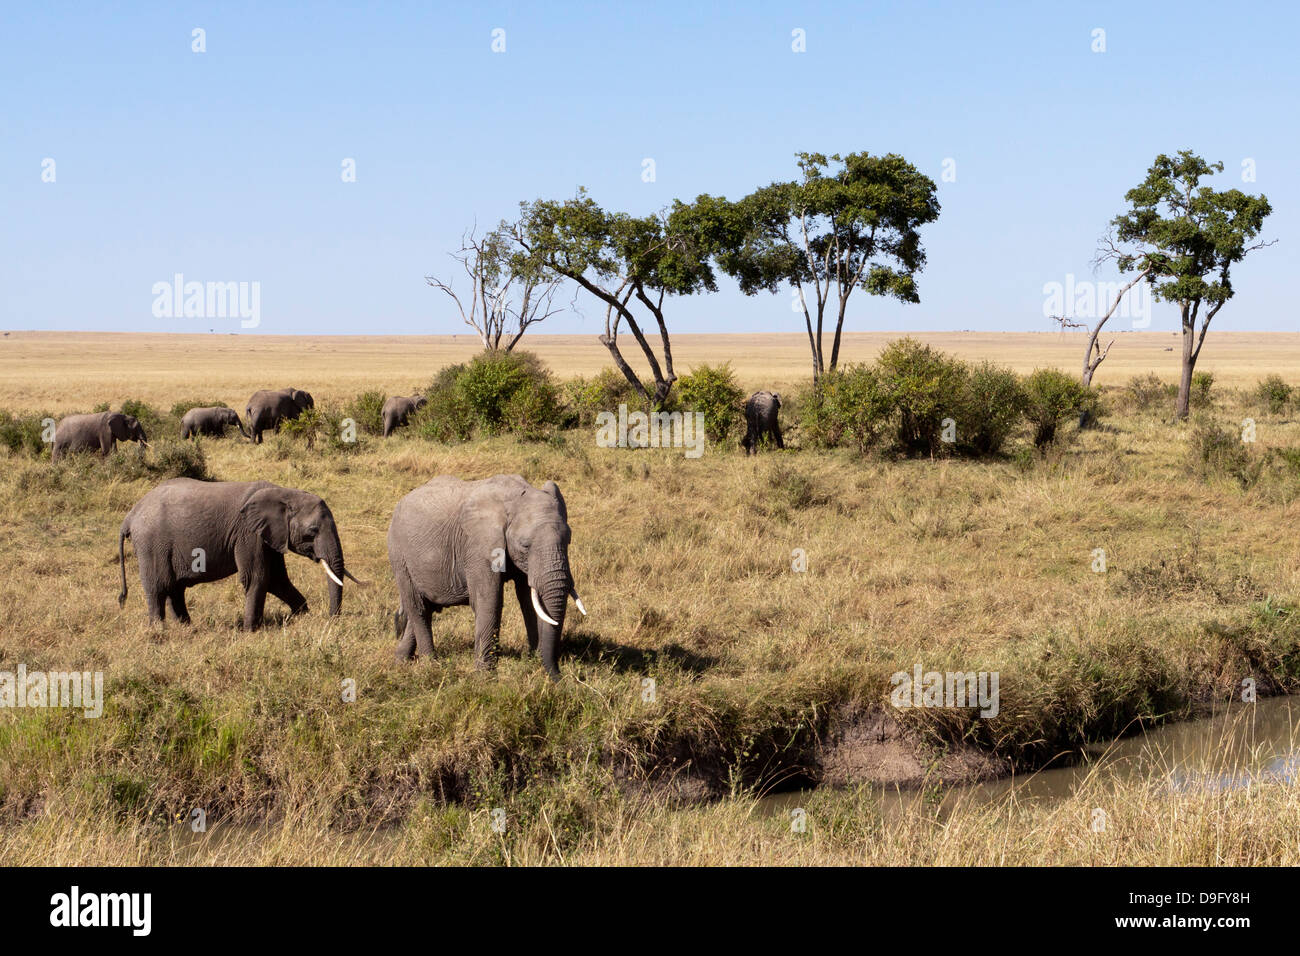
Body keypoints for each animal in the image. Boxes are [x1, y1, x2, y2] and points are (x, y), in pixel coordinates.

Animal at [117, 478, 364, 629]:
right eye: (312, 531)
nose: (332, 619)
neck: (284, 493)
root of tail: (130, 515)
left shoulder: (269, 536)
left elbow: (278, 580)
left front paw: (300, 616)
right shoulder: (248, 534)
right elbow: (258, 577)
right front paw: (251, 631)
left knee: (175, 588)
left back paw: (187, 627)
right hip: (150, 543)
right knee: (159, 587)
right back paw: (159, 632)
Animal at [387, 476, 587, 676]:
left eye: (568, 539)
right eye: (525, 545)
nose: (560, 676)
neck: (514, 497)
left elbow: (528, 600)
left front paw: (534, 660)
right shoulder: (478, 546)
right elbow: (489, 600)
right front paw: (485, 676)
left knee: (425, 607)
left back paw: (401, 661)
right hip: (399, 557)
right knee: (417, 607)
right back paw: (430, 665)